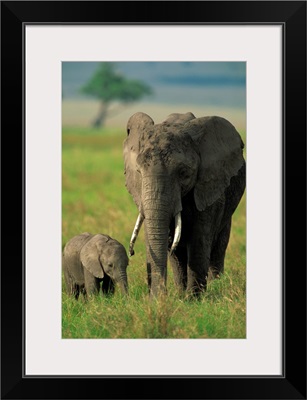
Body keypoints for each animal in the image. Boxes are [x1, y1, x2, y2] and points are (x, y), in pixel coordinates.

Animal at [124, 111, 247, 296]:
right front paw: (174, 298)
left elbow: (199, 239)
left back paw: (217, 285)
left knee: (219, 245)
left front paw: (195, 298)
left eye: (183, 173)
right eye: (139, 171)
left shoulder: (208, 187)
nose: (131, 252)